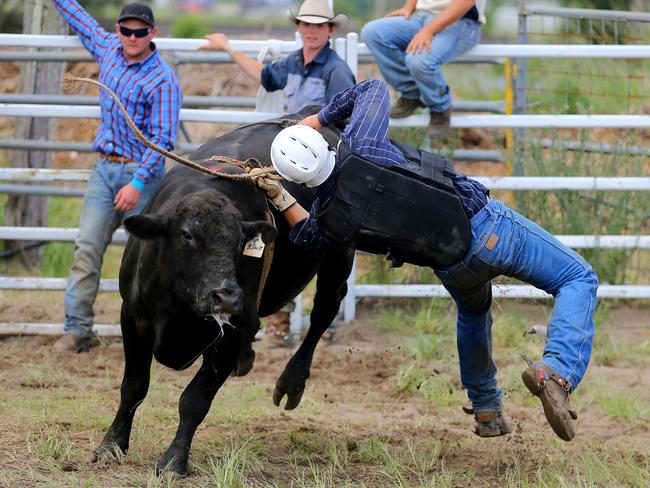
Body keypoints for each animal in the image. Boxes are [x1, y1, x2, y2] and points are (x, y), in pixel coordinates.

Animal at [93, 106, 352, 472]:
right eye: (187, 235)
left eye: (239, 242)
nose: (227, 296)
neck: (177, 305)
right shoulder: (131, 317)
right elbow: (133, 387)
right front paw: (111, 445)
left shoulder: (236, 330)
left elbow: (194, 400)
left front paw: (174, 460)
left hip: (339, 255)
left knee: (325, 310)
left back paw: (292, 382)